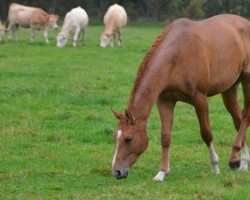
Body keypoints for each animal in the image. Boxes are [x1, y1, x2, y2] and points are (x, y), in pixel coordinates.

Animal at [112, 13, 250, 181]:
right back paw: (243, 162)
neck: (177, 55)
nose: (117, 172)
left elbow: (206, 133)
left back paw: (233, 158)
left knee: (246, 116)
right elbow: (165, 137)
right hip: (228, 89)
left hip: (247, 79)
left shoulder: (200, 99)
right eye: (115, 136)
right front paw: (162, 173)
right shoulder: (165, 101)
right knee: (238, 120)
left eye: (129, 139)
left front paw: (215, 166)